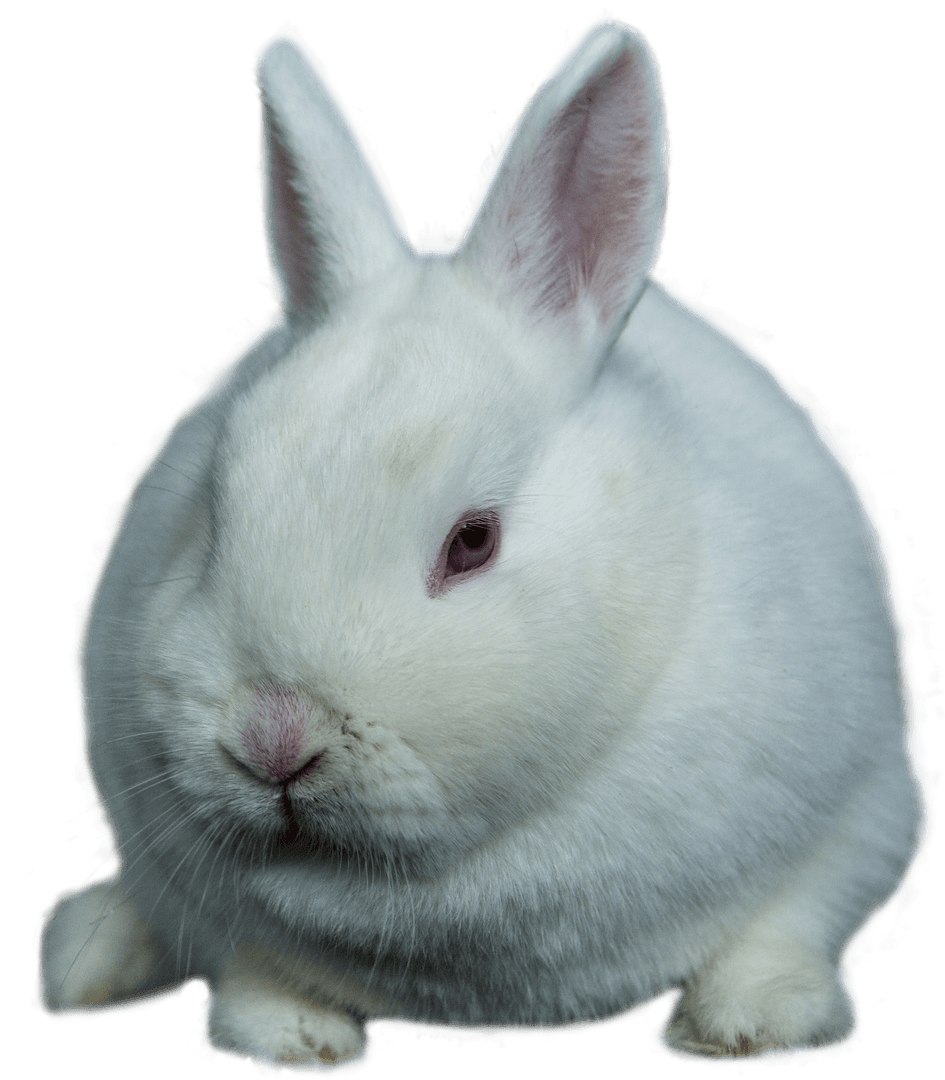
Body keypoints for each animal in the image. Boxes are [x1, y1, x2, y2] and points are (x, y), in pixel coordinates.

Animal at [32, 9, 933, 1073]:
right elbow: (250, 963)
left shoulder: (864, 812)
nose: (274, 738)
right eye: (212, 514)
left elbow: (781, 924)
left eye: (472, 542)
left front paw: (752, 1027)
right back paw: (82, 962)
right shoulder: (194, 887)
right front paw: (292, 1036)